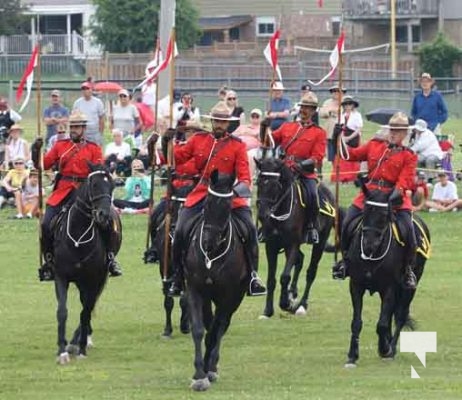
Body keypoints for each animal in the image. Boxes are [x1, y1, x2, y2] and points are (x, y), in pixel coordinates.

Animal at [52, 164, 122, 364]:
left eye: (112, 185)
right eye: (94, 185)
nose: (103, 215)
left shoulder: (93, 280)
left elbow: (85, 313)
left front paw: (81, 348)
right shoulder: (61, 277)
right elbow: (62, 311)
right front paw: (62, 351)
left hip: (98, 280)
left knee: (89, 307)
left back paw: (80, 340)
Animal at [144, 187, 189, 338]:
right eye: (173, 207)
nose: (176, 228)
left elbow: (185, 299)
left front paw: (185, 325)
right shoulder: (164, 270)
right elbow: (168, 301)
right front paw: (167, 330)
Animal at [183, 170, 249, 392]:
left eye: (228, 206)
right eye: (207, 203)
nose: (208, 242)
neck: (212, 256)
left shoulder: (228, 296)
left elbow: (215, 331)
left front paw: (206, 370)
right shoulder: (195, 290)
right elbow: (198, 329)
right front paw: (198, 374)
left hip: (235, 298)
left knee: (221, 326)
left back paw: (212, 365)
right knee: (210, 323)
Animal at [256, 158, 336, 318]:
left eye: (275, 185)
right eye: (259, 183)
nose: (262, 215)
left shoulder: (292, 244)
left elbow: (284, 276)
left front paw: (285, 304)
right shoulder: (271, 246)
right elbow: (271, 279)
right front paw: (268, 311)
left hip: (320, 243)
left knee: (311, 272)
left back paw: (301, 305)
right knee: (300, 260)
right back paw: (292, 293)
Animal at [342, 186, 430, 368]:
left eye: (384, 216)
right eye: (365, 212)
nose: (368, 245)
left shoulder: (390, 288)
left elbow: (382, 323)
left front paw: (385, 349)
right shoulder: (356, 285)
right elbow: (357, 322)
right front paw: (352, 356)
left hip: (409, 287)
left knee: (400, 316)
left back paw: (391, 348)